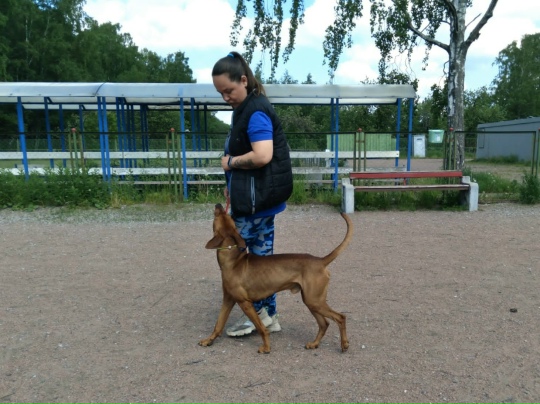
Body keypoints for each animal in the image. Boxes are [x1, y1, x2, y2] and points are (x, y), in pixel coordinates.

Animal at [198, 203, 353, 354]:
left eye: (218, 216)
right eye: (227, 216)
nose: (218, 204)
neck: (234, 260)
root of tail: (320, 261)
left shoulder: (245, 303)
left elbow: (261, 328)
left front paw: (266, 347)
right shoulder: (228, 300)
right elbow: (218, 324)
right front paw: (208, 340)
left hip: (314, 301)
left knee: (341, 317)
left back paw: (344, 344)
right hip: (312, 301)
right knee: (324, 323)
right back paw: (314, 344)